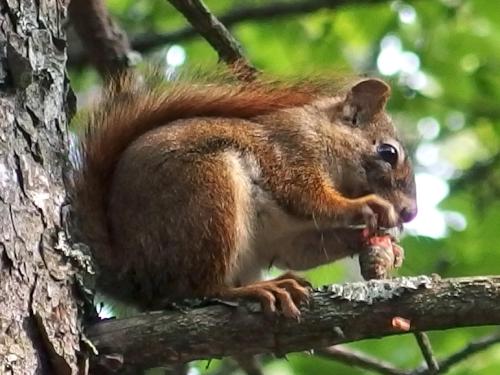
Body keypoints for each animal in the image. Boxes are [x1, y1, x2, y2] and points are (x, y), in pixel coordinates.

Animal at [72, 72, 416, 318]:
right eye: (388, 153)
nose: (410, 212)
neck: (322, 134)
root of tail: (132, 272)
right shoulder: (291, 154)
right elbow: (307, 197)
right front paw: (367, 206)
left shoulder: (290, 237)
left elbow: (304, 249)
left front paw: (388, 246)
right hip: (208, 197)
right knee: (197, 289)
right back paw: (256, 290)